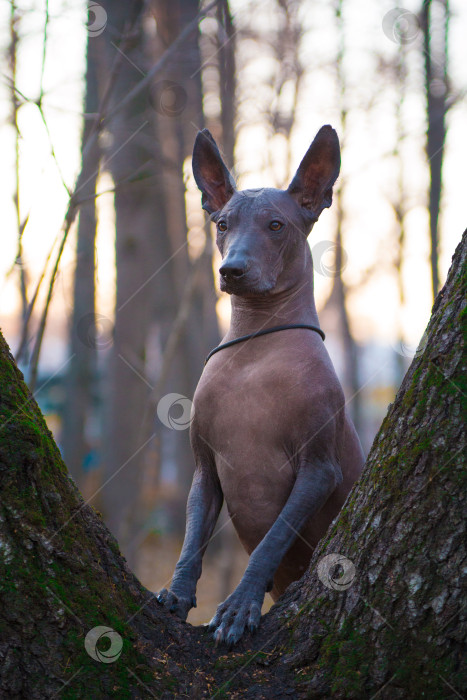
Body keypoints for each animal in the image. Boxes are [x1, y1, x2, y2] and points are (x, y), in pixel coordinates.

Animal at [157, 124, 366, 644]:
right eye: (222, 224)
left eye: (276, 226)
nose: (232, 268)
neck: (256, 346)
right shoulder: (205, 469)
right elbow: (192, 539)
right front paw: (178, 592)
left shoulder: (318, 469)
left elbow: (271, 541)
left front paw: (238, 606)